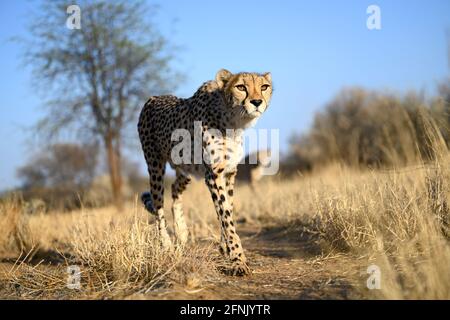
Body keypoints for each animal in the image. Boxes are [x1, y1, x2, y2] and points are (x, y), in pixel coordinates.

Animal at [137, 68, 272, 276]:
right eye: (241, 87)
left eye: (264, 87)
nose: (257, 102)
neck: (233, 120)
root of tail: (153, 98)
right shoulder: (213, 175)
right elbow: (225, 215)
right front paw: (238, 259)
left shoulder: (229, 173)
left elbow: (227, 210)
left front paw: (225, 248)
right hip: (155, 165)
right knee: (159, 204)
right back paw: (166, 244)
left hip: (186, 170)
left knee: (175, 189)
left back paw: (181, 231)